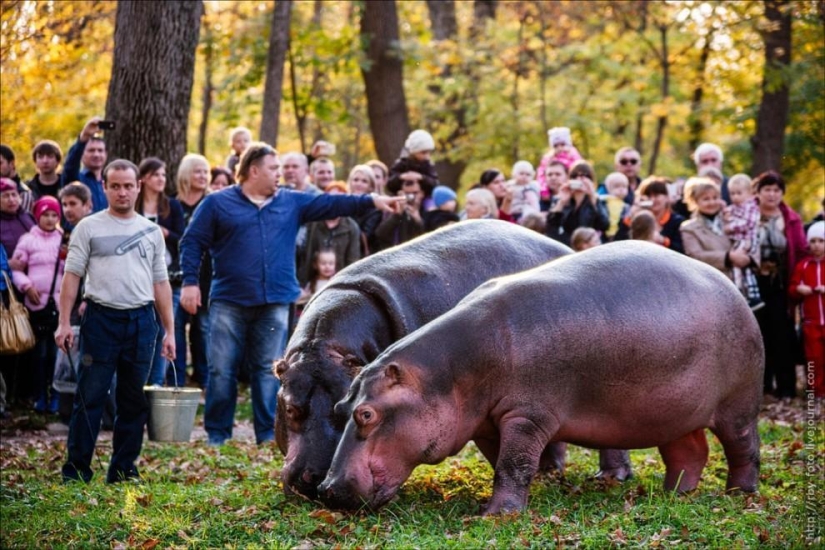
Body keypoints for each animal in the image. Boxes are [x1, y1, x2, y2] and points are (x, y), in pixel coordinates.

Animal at [319, 241, 764, 515]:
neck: (448, 371)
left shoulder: (526, 416)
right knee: (689, 451)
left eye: (367, 415)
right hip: (674, 412)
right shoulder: (486, 422)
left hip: (738, 405)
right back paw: (674, 493)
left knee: (744, 446)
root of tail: (729, 284)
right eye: (341, 406)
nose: (326, 488)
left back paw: (740, 492)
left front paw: (494, 515)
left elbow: (513, 464)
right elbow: (503, 463)